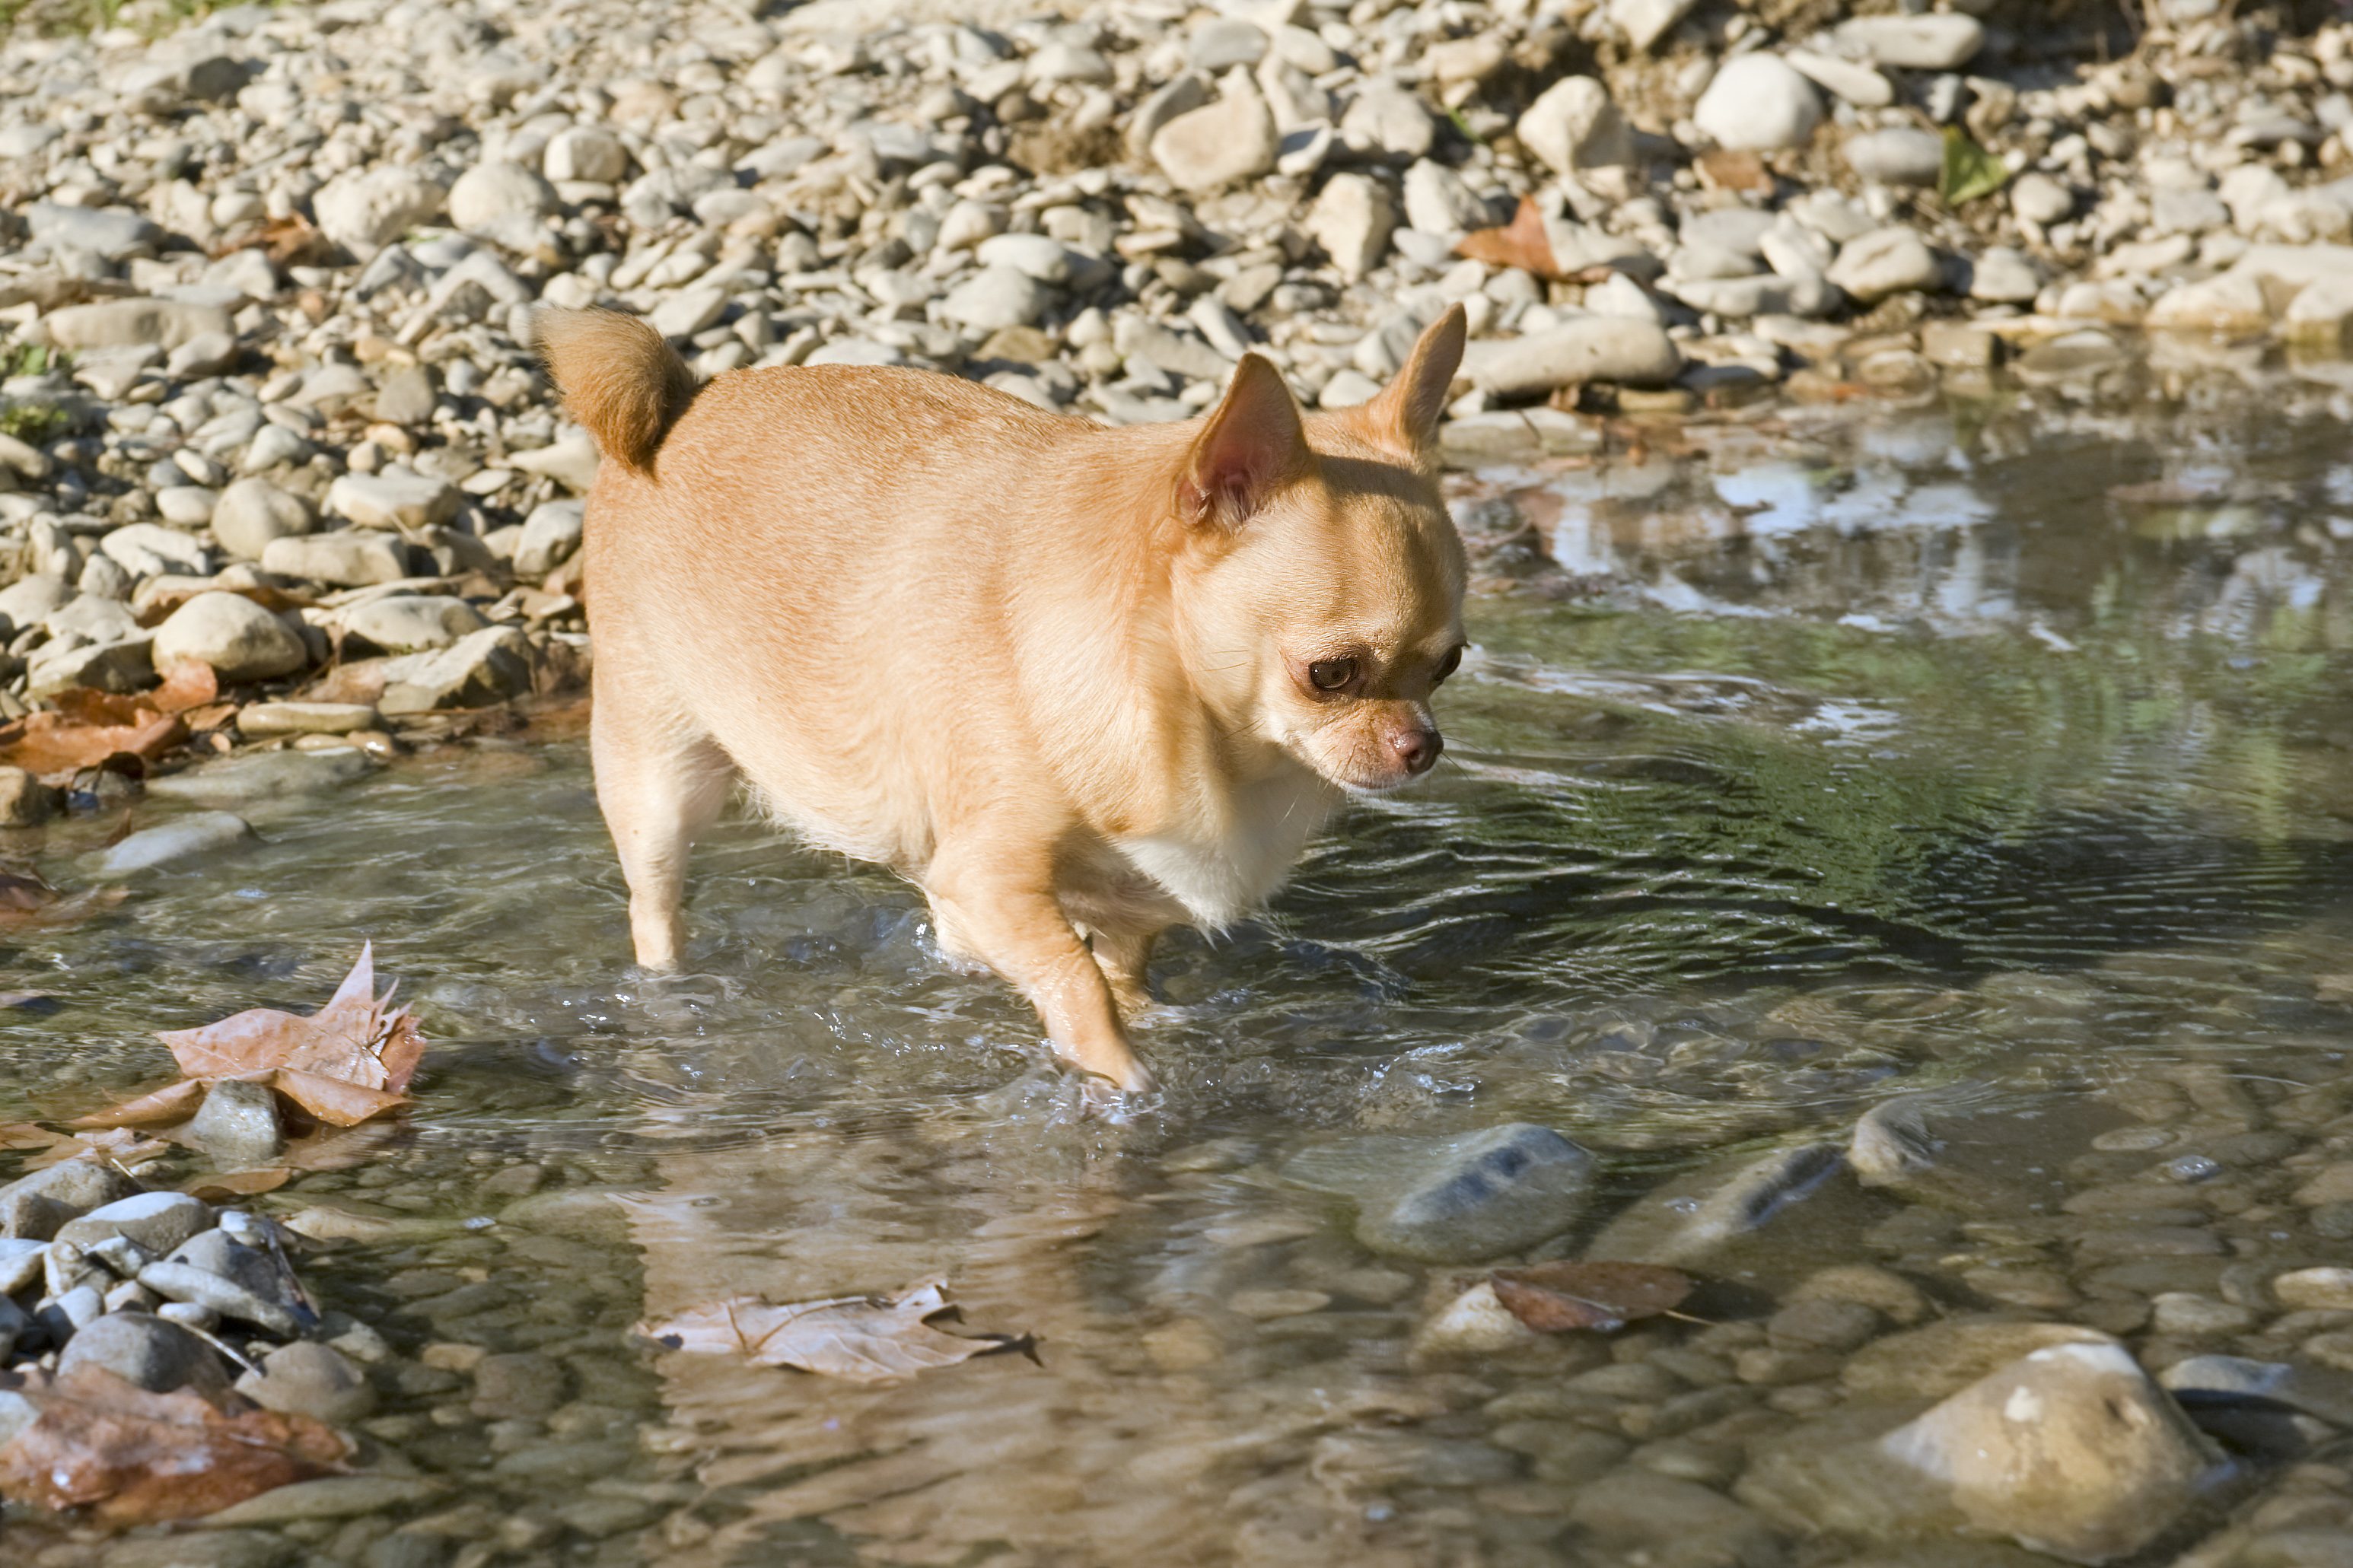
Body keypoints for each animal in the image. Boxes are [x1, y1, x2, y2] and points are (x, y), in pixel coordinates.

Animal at [539, 303, 1468, 1090]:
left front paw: (1150, 1029)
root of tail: (687, 398)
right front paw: (1120, 1080)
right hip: (660, 776)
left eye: (1449, 665)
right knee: (655, 905)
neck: (1196, 728)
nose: (1422, 745)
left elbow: (1116, 972)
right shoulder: (989, 877)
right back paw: (670, 991)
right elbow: (1076, 978)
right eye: (1331, 674)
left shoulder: (1128, 901)